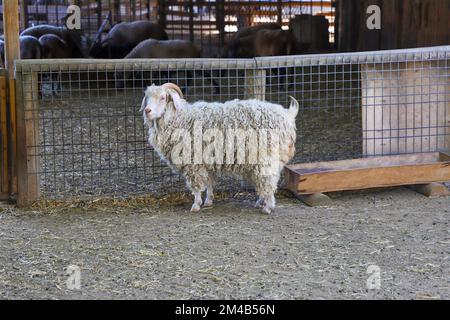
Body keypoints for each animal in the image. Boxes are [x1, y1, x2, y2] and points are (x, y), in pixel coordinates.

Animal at [141, 82, 298, 214]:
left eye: (162, 97)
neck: (180, 118)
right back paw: (260, 202)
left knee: (268, 181)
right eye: (147, 98)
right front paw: (208, 201)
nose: (147, 111)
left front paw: (196, 205)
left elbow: (196, 186)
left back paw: (267, 207)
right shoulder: (207, 160)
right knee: (267, 181)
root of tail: (287, 115)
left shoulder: (193, 162)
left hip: (266, 158)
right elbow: (210, 182)